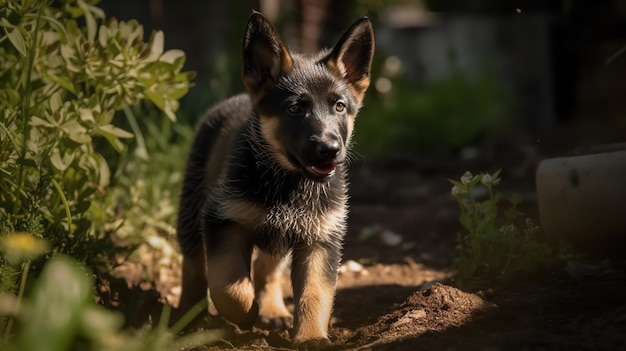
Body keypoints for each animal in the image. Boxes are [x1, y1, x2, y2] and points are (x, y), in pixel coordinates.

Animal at [173, 10, 372, 350]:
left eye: (339, 106)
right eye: (294, 108)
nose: (330, 149)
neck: (289, 183)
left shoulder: (320, 239)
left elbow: (314, 293)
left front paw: (310, 336)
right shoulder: (222, 220)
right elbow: (228, 284)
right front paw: (244, 315)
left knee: (266, 269)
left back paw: (273, 310)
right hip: (192, 208)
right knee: (194, 265)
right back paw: (188, 318)